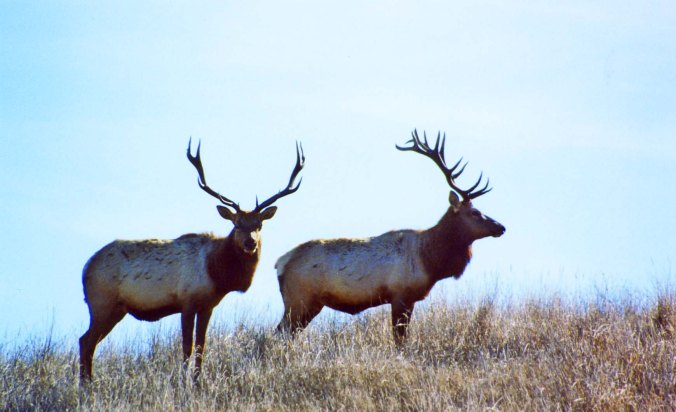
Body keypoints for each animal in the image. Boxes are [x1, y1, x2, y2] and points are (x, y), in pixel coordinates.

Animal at [79, 139, 305, 381]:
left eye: (259, 225)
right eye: (236, 224)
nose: (250, 243)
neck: (216, 274)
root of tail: (85, 268)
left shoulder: (207, 306)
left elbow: (201, 346)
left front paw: (197, 380)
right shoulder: (186, 301)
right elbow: (187, 346)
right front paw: (183, 381)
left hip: (115, 309)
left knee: (88, 342)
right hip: (102, 303)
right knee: (86, 341)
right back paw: (86, 384)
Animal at [275, 130, 505, 344]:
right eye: (475, 212)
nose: (501, 227)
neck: (430, 261)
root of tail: (280, 263)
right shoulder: (401, 295)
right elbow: (400, 339)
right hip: (299, 299)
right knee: (280, 332)